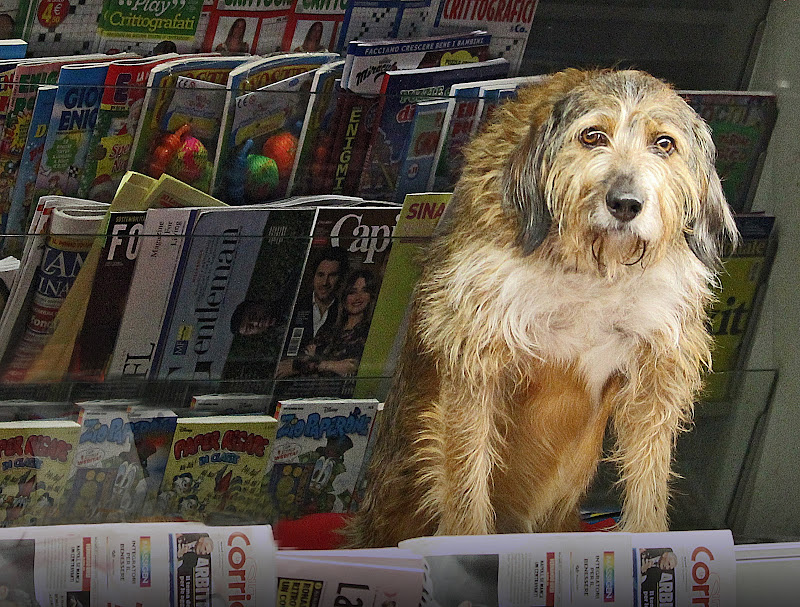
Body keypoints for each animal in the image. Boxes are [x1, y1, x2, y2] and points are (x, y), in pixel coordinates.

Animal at [346, 69, 740, 548]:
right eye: (592, 135)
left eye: (664, 144)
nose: (626, 204)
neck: (592, 271)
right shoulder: (476, 367)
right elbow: (465, 477)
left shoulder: (656, 375)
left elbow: (649, 477)